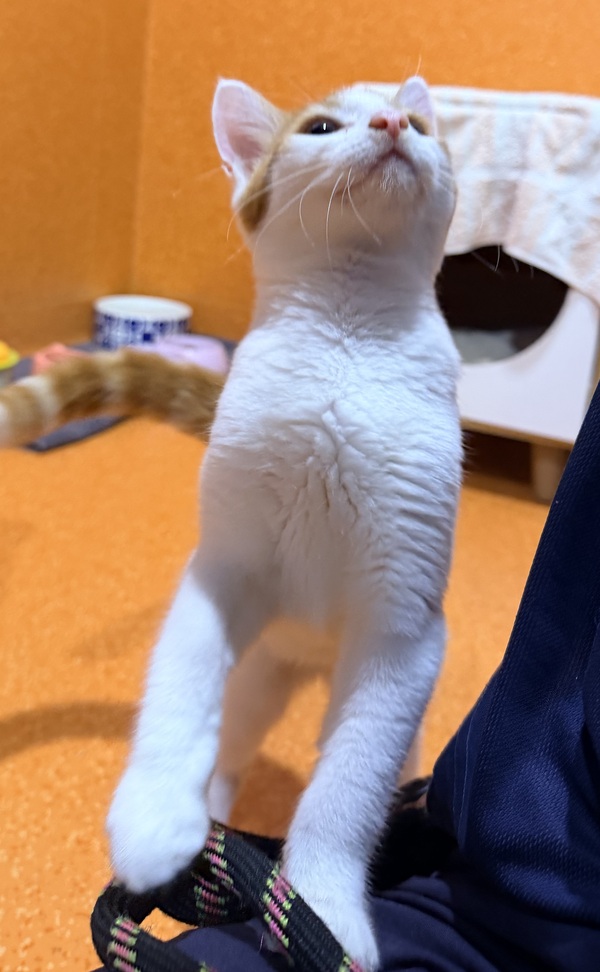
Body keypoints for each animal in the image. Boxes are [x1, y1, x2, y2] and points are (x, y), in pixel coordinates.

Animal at [0, 77, 462, 970]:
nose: (393, 121)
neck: (347, 351)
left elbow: (346, 789)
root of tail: (310, 659)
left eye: (423, 127)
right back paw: (211, 820)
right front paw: (154, 822)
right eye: (322, 127)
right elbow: (180, 695)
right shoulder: (222, 571)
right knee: (231, 736)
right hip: (260, 673)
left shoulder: (402, 631)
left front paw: (323, 905)